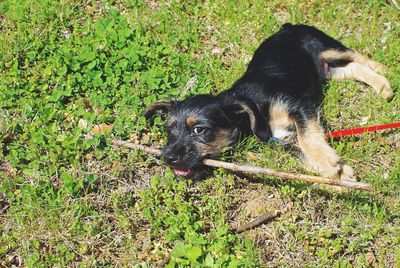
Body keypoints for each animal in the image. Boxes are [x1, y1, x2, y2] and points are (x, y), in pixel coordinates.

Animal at [143, 24, 390, 181]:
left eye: (199, 130)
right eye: (169, 131)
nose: (167, 158)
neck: (253, 106)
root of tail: (286, 26)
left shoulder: (299, 106)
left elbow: (308, 137)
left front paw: (327, 160)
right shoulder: (282, 141)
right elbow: (302, 153)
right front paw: (337, 172)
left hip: (326, 46)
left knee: (356, 55)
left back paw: (385, 75)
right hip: (326, 70)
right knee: (351, 68)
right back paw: (381, 85)